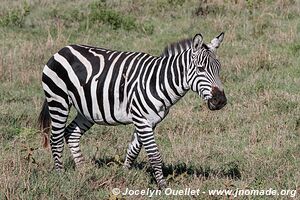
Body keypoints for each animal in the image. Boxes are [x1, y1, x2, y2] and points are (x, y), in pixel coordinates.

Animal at [39, 31, 227, 188]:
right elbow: (154, 155)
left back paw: (84, 171)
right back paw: (61, 176)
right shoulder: (142, 120)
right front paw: (163, 187)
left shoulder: (149, 121)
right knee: (56, 139)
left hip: (87, 110)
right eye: (200, 69)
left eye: (219, 68)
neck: (158, 81)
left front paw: (124, 175)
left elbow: (133, 150)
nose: (220, 101)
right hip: (58, 100)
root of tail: (62, 50)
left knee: (71, 133)